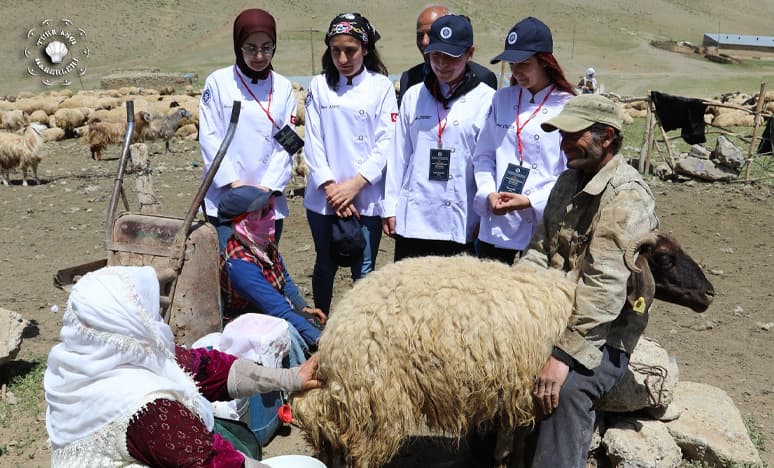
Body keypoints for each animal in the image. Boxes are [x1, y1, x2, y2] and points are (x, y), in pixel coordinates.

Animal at [294, 234, 720, 468]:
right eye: (664, 258)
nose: (709, 294)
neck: (571, 297)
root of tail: (334, 337)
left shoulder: (514, 389)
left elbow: (511, 447)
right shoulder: (524, 388)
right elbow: (510, 449)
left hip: (352, 400)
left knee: (326, 436)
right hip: (376, 401)